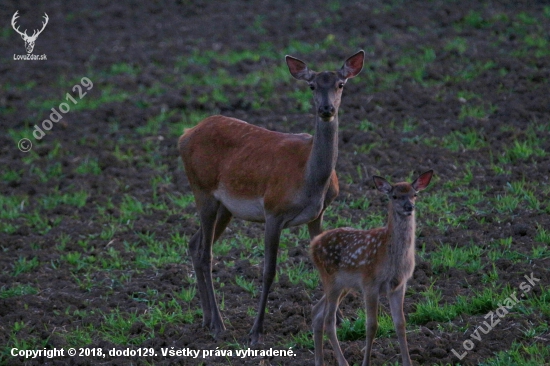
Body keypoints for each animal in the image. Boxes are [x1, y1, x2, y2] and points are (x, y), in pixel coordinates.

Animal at [179, 49, 364, 344]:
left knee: (194, 244)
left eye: (340, 84)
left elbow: (325, 268)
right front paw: (256, 331)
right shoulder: (273, 211)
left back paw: (207, 319)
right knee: (206, 253)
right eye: (312, 86)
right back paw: (219, 324)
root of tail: (185, 134)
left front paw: (340, 320)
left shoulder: (317, 214)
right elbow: (268, 272)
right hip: (201, 189)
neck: (311, 181)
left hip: (225, 207)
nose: (326, 109)